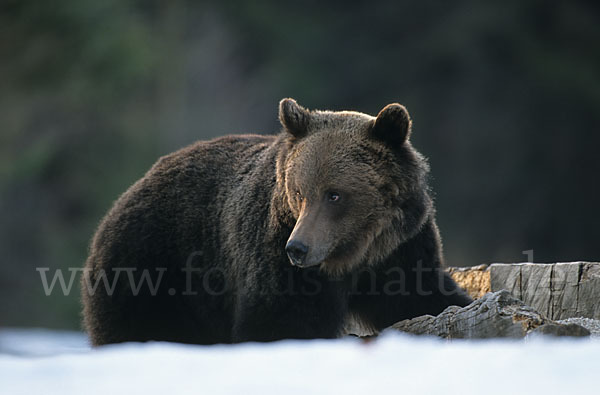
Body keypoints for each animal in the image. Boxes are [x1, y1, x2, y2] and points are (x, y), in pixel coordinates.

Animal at [81, 97, 474, 344]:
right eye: (299, 191)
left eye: (334, 194)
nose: (298, 248)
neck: (354, 252)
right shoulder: (272, 250)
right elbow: (281, 321)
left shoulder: (401, 248)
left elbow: (422, 295)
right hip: (152, 268)